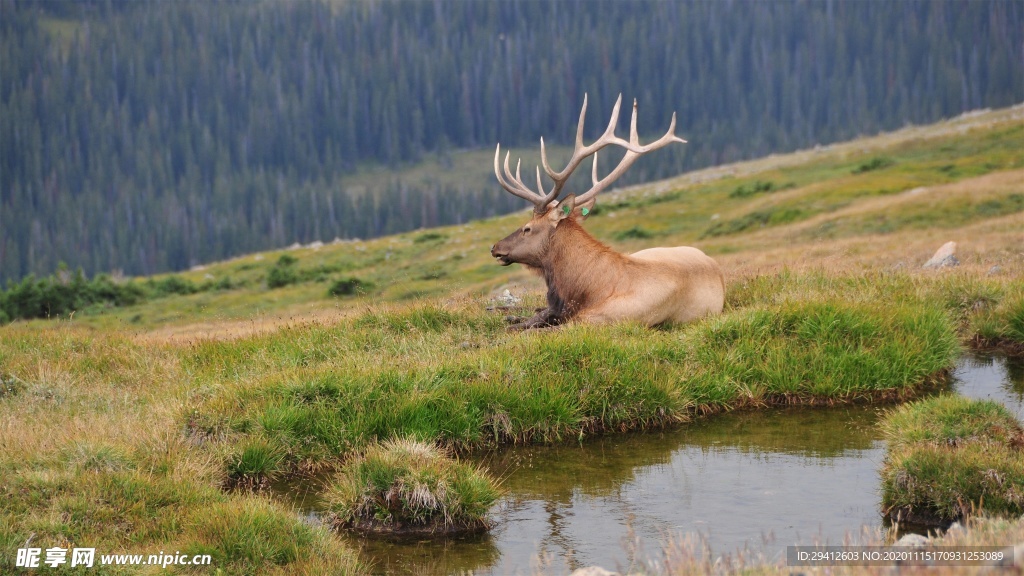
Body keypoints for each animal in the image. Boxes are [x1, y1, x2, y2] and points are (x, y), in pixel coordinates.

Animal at [489, 93, 724, 327]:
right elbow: (525, 322)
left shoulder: (592, 321)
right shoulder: (556, 310)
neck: (584, 289)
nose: (495, 247)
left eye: (527, 228)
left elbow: (526, 330)